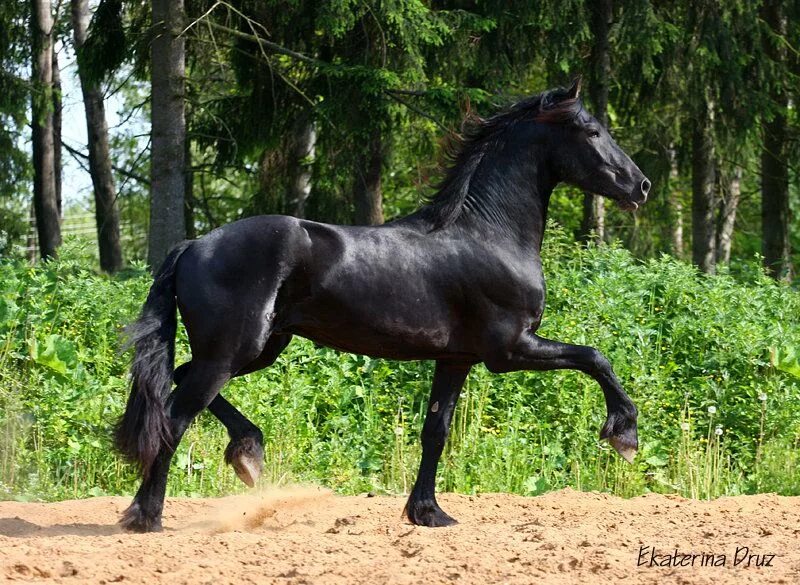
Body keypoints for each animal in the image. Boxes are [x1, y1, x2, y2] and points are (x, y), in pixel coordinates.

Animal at [114, 80, 648, 532]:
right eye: (592, 131)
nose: (640, 186)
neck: (488, 234)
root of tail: (194, 245)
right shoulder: (510, 350)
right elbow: (595, 357)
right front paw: (624, 436)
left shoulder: (456, 359)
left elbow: (436, 430)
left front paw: (428, 513)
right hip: (234, 352)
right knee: (174, 418)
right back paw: (147, 516)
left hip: (257, 348)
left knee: (181, 379)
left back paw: (246, 454)